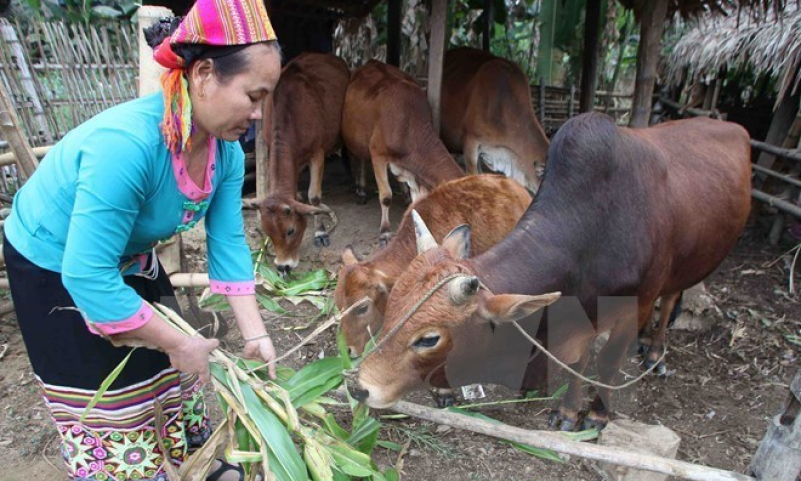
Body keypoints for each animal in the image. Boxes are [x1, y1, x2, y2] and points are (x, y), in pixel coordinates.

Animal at [256, 53, 350, 274]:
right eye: (267, 232)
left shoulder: (317, 152)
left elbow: (314, 198)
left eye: (290, 231)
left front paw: (320, 232)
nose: (283, 266)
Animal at [348, 114, 752, 430]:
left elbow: (606, 362)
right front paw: (568, 411)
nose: (359, 386)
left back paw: (655, 352)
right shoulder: (581, 310)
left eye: (429, 339)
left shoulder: (632, 306)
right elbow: (578, 363)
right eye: (391, 307)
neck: (593, 229)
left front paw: (597, 414)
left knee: (670, 300)